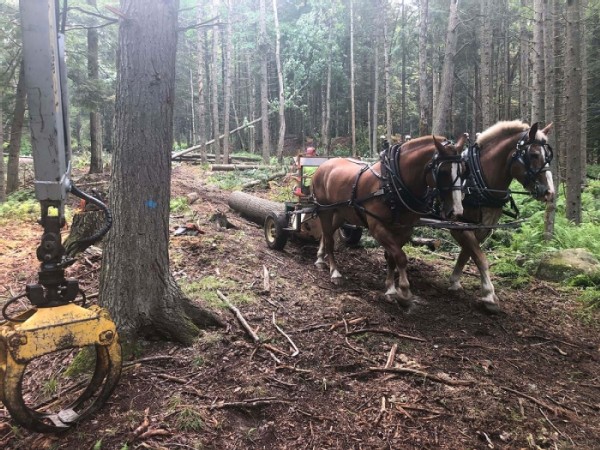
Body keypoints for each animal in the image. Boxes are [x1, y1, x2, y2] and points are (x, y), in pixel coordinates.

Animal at [312, 134, 466, 308]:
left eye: (463, 171)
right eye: (443, 171)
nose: (457, 210)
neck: (392, 183)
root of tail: (323, 165)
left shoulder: (404, 229)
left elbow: (392, 257)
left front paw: (391, 289)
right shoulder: (377, 227)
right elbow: (400, 257)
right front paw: (404, 292)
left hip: (341, 213)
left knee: (327, 234)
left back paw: (320, 258)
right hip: (325, 210)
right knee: (329, 239)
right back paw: (335, 272)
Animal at [448, 120, 556, 312]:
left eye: (549, 156)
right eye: (534, 155)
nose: (550, 192)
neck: (476, 179)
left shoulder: (483, 228)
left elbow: (467, 253)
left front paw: (454, 282)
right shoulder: (460, 225)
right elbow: (480, 258)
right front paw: (489, 296)